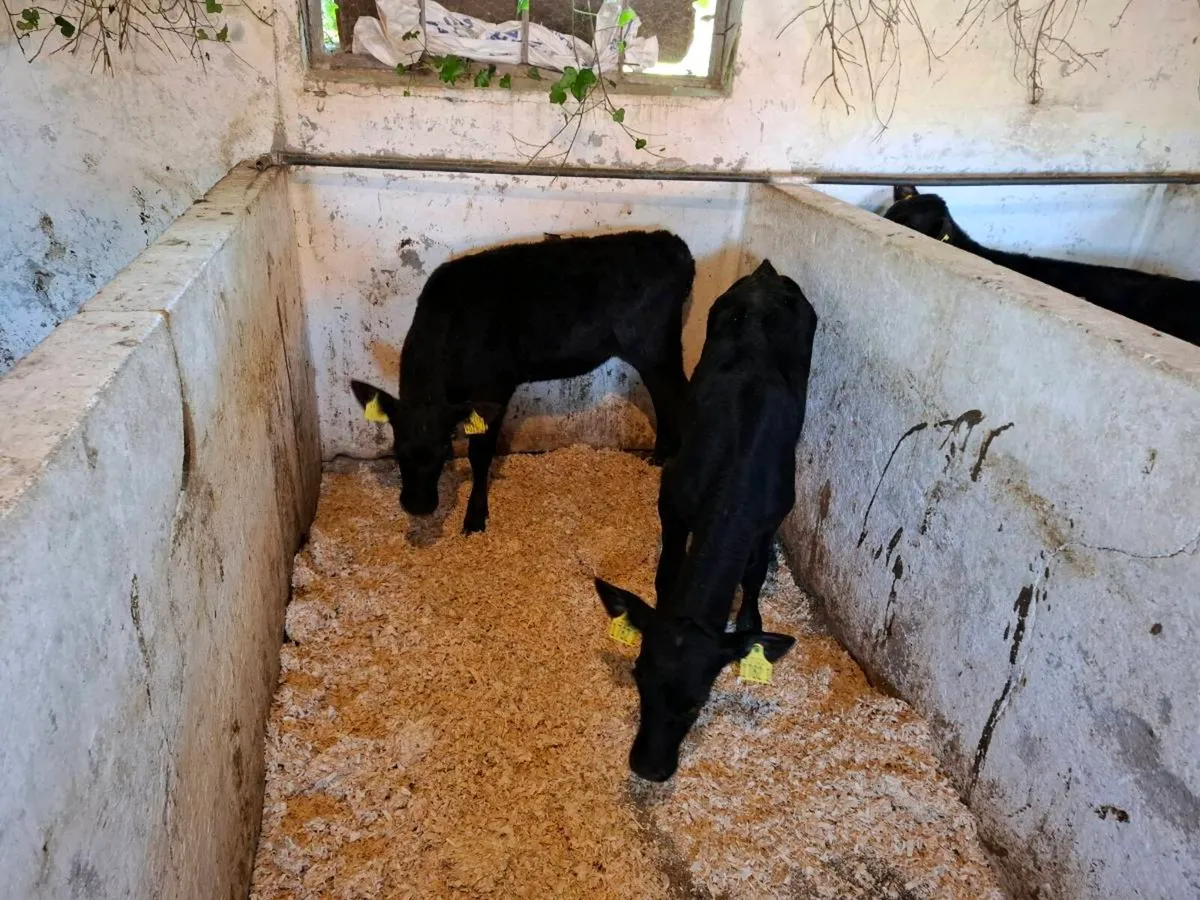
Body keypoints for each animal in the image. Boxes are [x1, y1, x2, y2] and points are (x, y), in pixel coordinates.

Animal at [351, 230, 694, 534]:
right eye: (396, 448)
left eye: (444, 450)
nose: (419, 506)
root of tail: (670, 241)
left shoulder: (495, 389)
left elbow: (480, 455)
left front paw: (475, 517)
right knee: (662, 398)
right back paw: (658, 457)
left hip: (655, 347)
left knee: (678, 398)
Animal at [594, 259, 819, 782]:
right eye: (638, 676)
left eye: (699, 701)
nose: (648, 766)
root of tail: (765, 273)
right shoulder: (673, 504)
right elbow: (665, 570)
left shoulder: (770, 520)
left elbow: (753, 577)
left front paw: (751, 620)